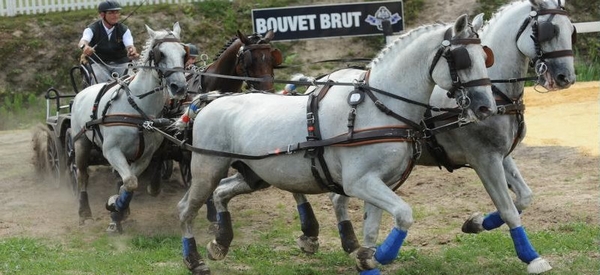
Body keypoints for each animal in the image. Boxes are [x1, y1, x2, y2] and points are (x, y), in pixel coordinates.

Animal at [67, 22, 188, 233]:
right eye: (161, 54)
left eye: (183, 53)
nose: (179, 87)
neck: (138, 108)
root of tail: (82, 92)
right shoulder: (111, 150)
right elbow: (130, 182)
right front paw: (115, 207)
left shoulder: (145, 156)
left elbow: (129, 183)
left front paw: (118, 210)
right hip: (80, 143)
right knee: (82, 176)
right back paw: (84, 213)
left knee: (118, 178)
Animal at [179, 14, 496, 274]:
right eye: (462, 59)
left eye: (485, 57)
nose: (486, 107)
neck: (378, 108)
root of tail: (211, 101)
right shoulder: (360, 182)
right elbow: (404, 215)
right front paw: (379, 255)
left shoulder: (382, 182)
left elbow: (372, 229)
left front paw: (366, 258)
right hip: (208, 167)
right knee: (187, 208)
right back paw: (194, 260)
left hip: (254, 174)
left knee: (221, 193)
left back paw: (220, 243)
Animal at [300, 0, 576, 274]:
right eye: (548, 30)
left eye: (571, 29)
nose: (566, 78)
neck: (496, 91)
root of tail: (323, 79)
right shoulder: (485, 159)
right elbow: (508, 209)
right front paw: (531, 257)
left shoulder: (501, 155)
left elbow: (525, 198)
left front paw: (475, 223)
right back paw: (310, 234)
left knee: (337, 196)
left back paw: (349, 243)